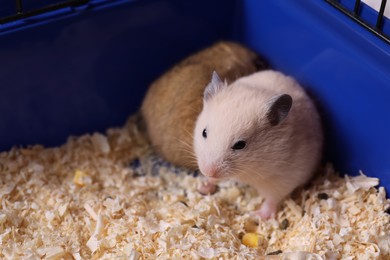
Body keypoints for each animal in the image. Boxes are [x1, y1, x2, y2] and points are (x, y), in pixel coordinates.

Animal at [193, 69, 324, 219]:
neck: (247, 170)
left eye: (240, 145)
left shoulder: (283, 178)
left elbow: (272, 198)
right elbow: (212, 180)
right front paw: (202, 188)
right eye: (204, 132)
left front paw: (256, 215)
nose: (207, 171)